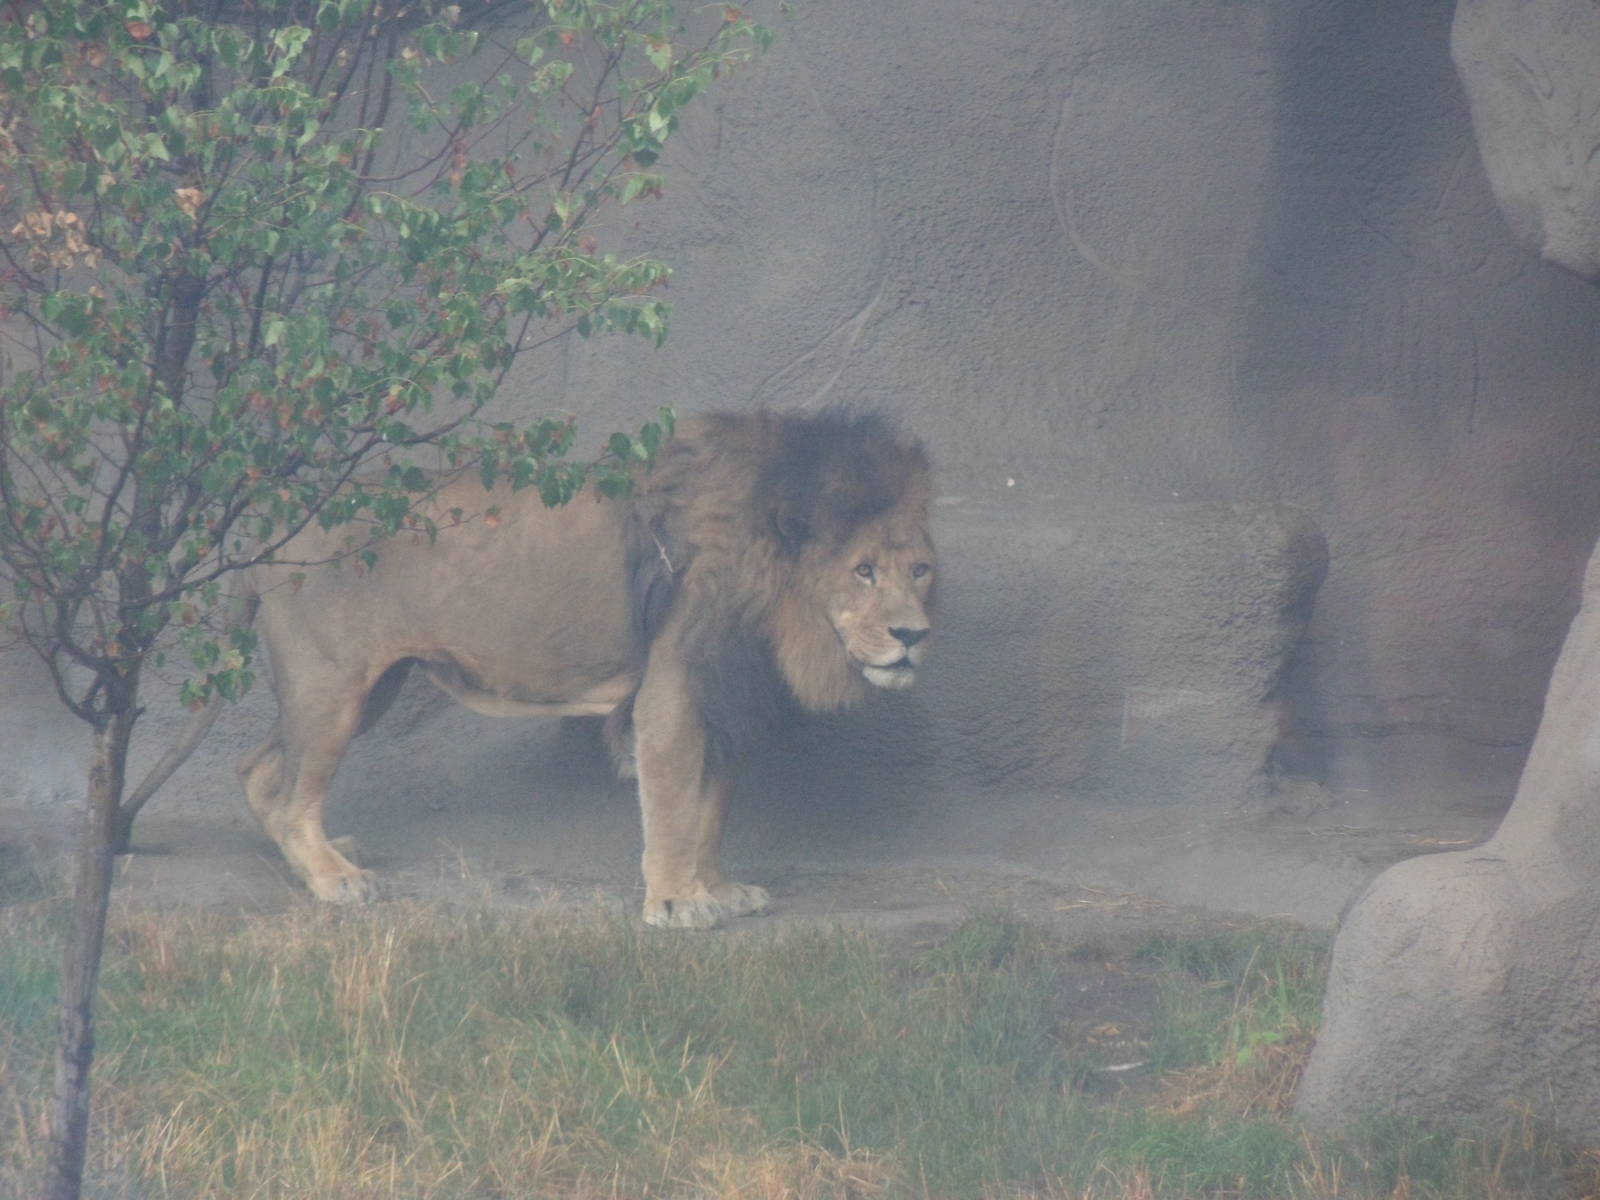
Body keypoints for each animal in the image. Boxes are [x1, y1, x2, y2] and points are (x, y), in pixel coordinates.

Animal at [131, 409, 936, 928]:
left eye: (921, 570)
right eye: (863, 570)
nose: (914, 635)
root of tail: (272, 521)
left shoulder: (721, 695)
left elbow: (711, 809)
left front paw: (719, 888)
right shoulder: (674, 690)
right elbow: (674, 805)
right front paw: (675, 902)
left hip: (366, 689)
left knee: (258, 769)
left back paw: (322, 858)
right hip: (332, 688)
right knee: (294, 789)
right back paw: (334, 879)